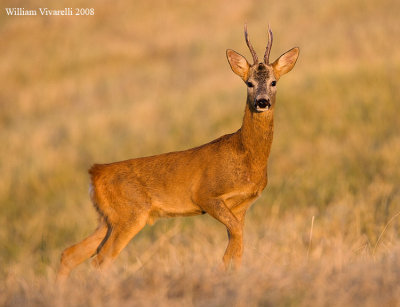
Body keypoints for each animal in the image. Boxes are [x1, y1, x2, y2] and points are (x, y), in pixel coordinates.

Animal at [57, 25, 298, 282]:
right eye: (249, 83)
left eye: (273, 82)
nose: (262, 102)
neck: (246, 156)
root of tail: (95, 173)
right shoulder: (206, 195)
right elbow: (235, 239)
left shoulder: (242, 207)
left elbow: (237, 242)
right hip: (130, 214)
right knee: (101, 259)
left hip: (108, 218)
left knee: (70, 253)